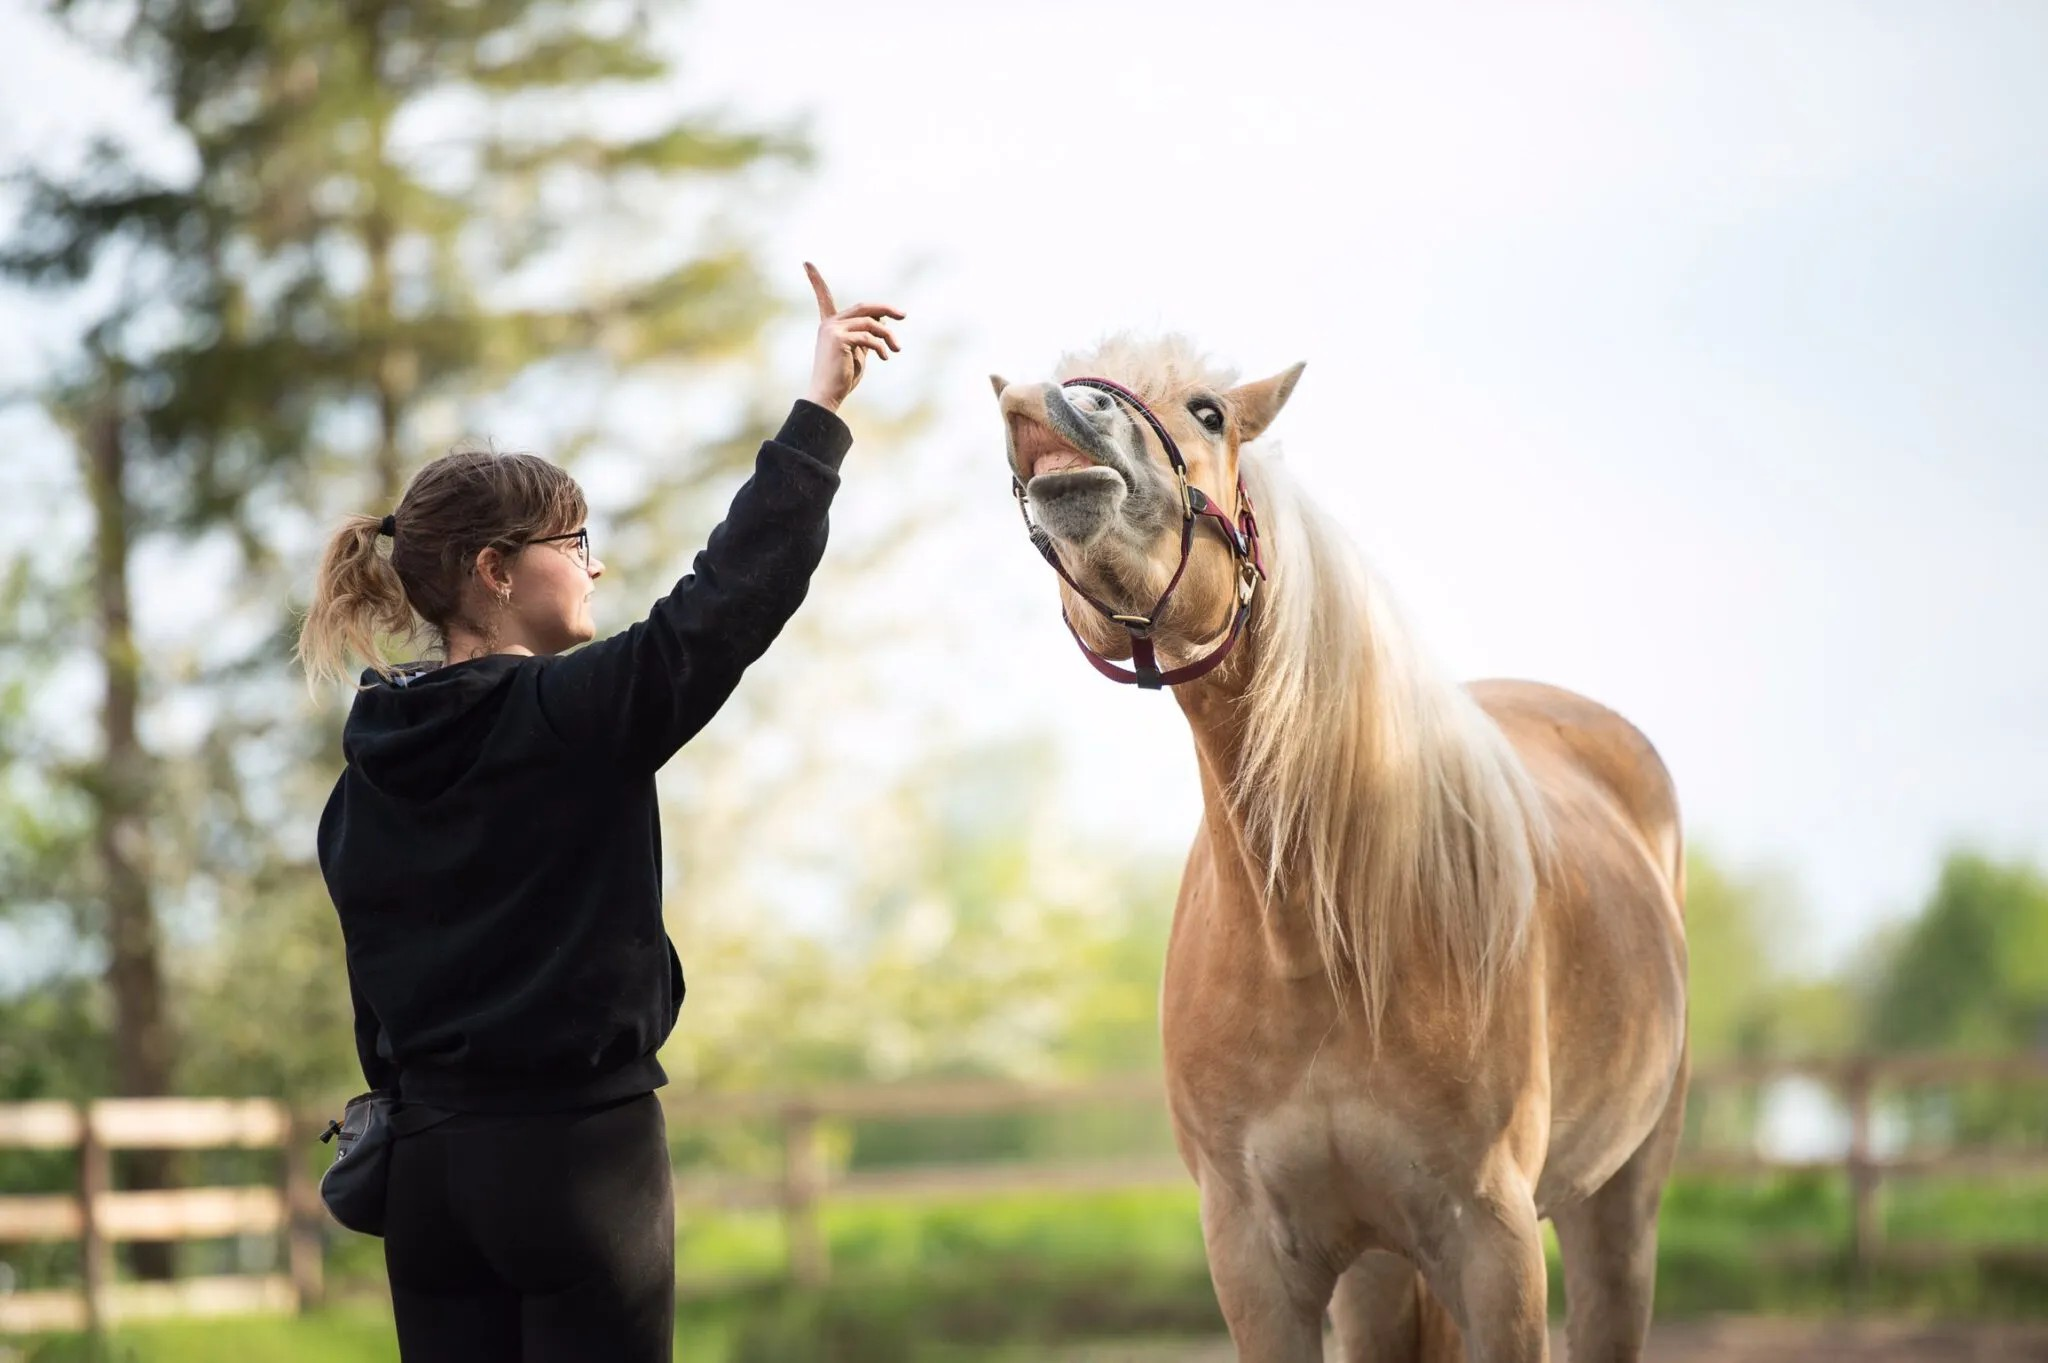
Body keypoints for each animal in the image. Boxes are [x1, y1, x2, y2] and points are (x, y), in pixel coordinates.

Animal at [991, 337, 1688, 1362]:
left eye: (1210, 413)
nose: (1052, 405)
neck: (1318, 943)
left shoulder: (1495, 1244)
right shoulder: (1253, 1256)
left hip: (1618, 1206)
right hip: (1377, 1266)